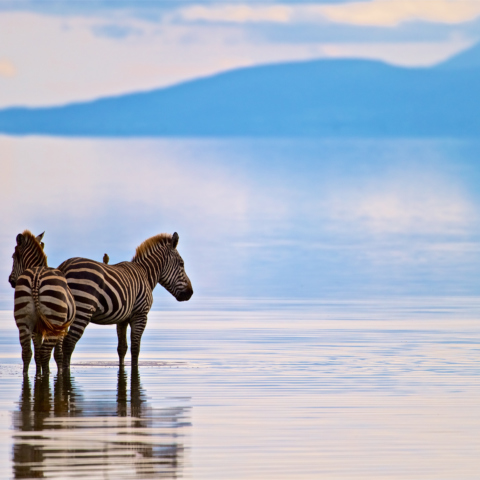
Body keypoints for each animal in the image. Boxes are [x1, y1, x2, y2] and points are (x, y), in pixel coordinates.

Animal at [8, 231, 76, 375]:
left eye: (13, 257)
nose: (10, 281)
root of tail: (36, 278)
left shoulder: (36, 329)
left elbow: (37, 353)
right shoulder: (62, 328)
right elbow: (57, 354)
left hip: (23, 321)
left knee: (27, 353)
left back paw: (28, 375)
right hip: (54, 322)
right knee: (45, 353)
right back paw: (46, 374)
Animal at [58, 232, 193, 369]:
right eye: (182, 264)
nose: (190, 293)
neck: (145, 274)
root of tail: (64, 267)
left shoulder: (122, 319)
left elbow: (122, 348)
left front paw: (122, 366)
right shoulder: (140, 314)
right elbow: (135, 348)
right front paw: (135, 366)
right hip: (83, 308)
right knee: (69, 343)